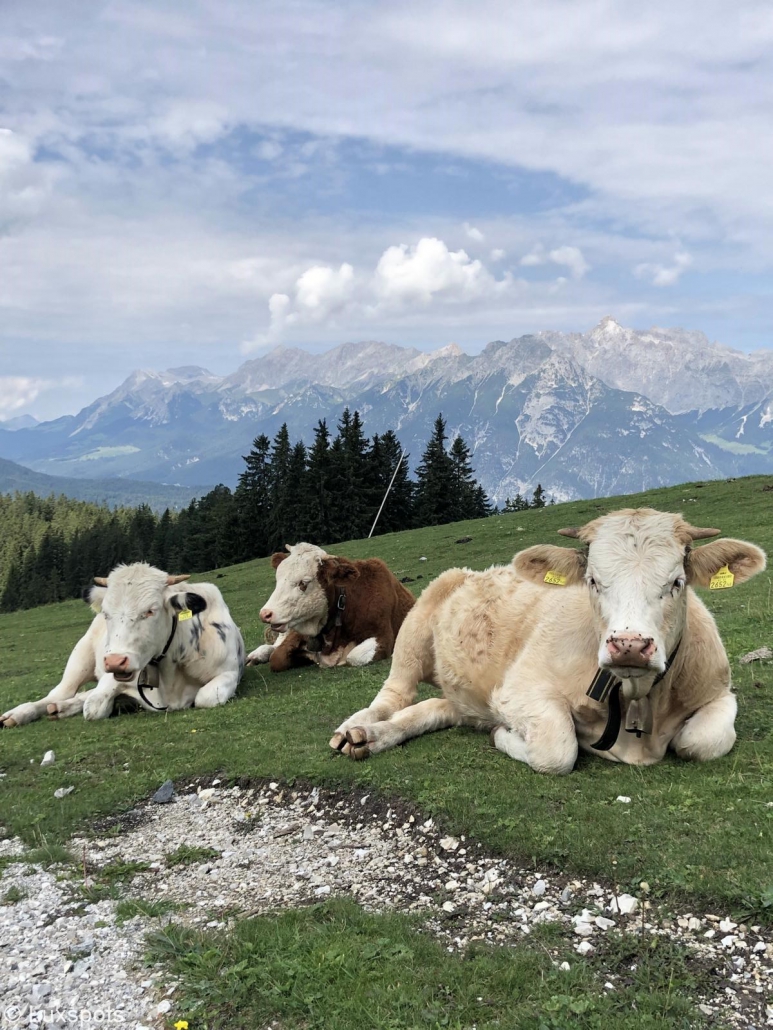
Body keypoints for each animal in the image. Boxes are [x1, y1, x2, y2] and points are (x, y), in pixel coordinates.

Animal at [0, 563, 245, 727]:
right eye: (107, 613)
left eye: (150, 610)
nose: (115, 661)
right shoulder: (111, 678)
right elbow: (93, 707)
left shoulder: (229, 672)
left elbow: (206, 697)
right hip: (80, 658)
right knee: (58, 693)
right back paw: (20, 714)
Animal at [246, 543, 415, 672]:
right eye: (278, 580)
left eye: (303, 583)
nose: (265, 614)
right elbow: (277, 657)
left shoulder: (383, 636)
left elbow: (354, 656)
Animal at [329, 509, 766, 773]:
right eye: (592, 580)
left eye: (677, 582)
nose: (628, 644)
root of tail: (473, 571)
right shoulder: (518, 691)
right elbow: (558, 749)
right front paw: (504, 735)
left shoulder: (719, 691)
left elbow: (704, 741)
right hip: (416, 627)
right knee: (394, 694)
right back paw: (354, 727)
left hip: (463, 693)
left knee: (436, 708)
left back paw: (370, 737)